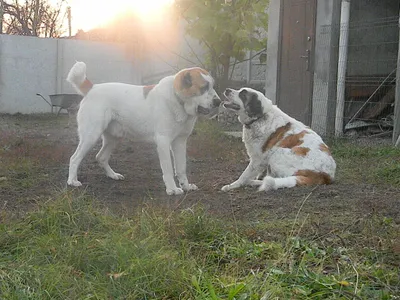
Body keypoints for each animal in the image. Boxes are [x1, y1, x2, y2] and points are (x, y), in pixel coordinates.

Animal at [67, 62, 220, 196]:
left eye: (212, 86)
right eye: (204, 87)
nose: (218, 101)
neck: (178, 100)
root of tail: (92, 88)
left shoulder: (180, 142)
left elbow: (181, 167)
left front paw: (186, 186)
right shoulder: (163, 141)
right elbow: (168, 169)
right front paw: (172, 189)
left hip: (114, 138)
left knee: (101, 157)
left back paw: (113, 175)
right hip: (91, 136)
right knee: (74, 158)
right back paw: (72, 181)